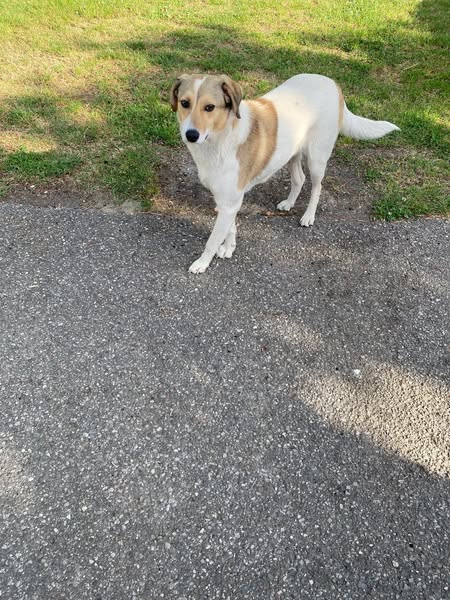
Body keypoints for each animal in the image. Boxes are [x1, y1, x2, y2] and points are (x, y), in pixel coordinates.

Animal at [170, 73, 399, 273]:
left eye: (209, 107)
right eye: (184, 103)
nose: (191, 135)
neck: (221, 137)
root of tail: (332, 83)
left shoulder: (229, 202)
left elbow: (213, 239)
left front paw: (202, 263)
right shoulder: (227, 201)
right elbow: (229, 228)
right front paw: (228, 248)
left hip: (316, 158)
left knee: (317, 186)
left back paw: (308, 216)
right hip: (291, 154)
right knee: (299, 179)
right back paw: (289, 203)